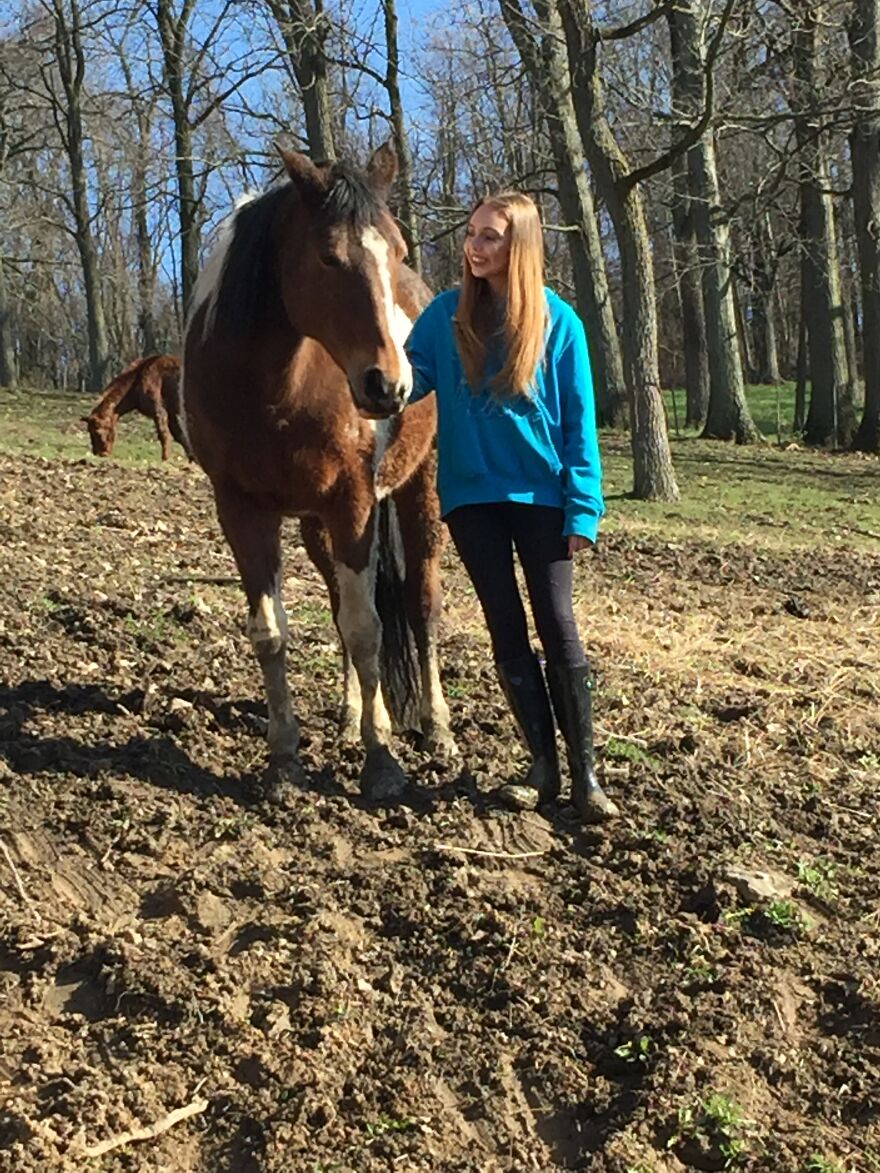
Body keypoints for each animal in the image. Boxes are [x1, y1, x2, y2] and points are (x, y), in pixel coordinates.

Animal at [182, 143, 455, 802]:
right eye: (329, 257)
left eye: (397, 251)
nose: (390, 386)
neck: (272, 391)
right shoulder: (241, 510)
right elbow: (272, 632)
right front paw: (284, 759)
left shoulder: (353, 502)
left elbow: (366, 627)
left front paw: (381, 763)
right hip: (313, 526)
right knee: (338, 602)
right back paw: (354, 713)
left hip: (418, 490)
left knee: (419, 602)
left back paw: (435, 728)